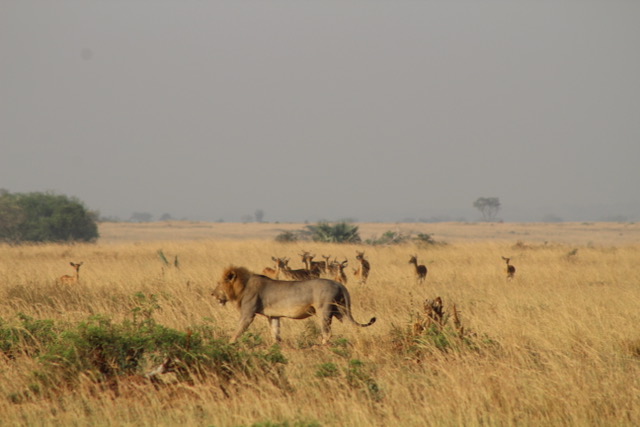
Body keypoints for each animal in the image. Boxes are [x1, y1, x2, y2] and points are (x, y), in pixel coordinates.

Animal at [212, 266, 378, 346]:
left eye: (219, 283)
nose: (212, 294)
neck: (242, 286)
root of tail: (338, 283)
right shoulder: (273, 316)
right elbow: (275, 333)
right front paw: (276, 346)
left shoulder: (248, 314)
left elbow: (238, 330)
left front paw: (229, 343)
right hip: (340, 310)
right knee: (351, 326)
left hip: (324, 310)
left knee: (327, 332)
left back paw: (321, 345)